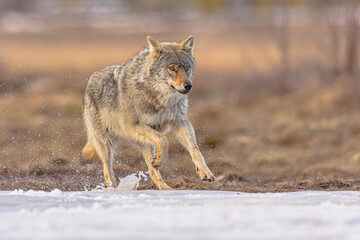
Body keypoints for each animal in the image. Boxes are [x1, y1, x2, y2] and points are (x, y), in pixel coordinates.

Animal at [81, 35, 217, 189]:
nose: (188, 86)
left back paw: (166, 188)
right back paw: (113, 190)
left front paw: (206, 172)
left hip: (143, 143)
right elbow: (164, 140)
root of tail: (90, 79)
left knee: (151, 171)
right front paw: (160, 159)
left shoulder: (181, 122)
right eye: (172, 68)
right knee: (107, 170)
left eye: (186, 67)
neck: (161, 99)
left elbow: (195, 149)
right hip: (106, 144)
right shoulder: (133, 126)